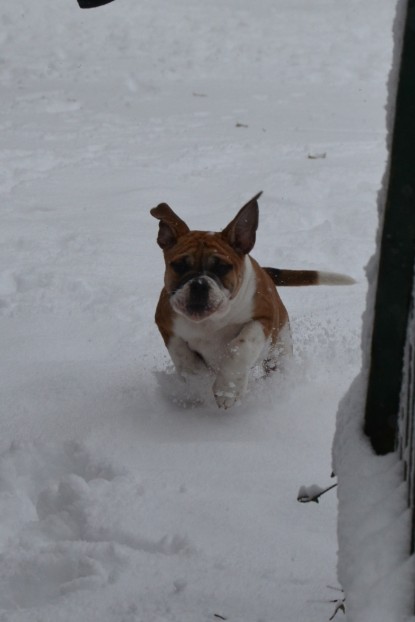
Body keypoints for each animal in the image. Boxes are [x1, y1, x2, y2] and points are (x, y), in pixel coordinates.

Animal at [151, 193, 356, 412]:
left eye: (222, 267)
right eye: (179, 265)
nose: (199, 285)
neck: (211, 322)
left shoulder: (263, 319)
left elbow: (241, 346)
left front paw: (228, 389)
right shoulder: (165, 322)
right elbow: (182, 355)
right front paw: (196, 380)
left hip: (280, 347)